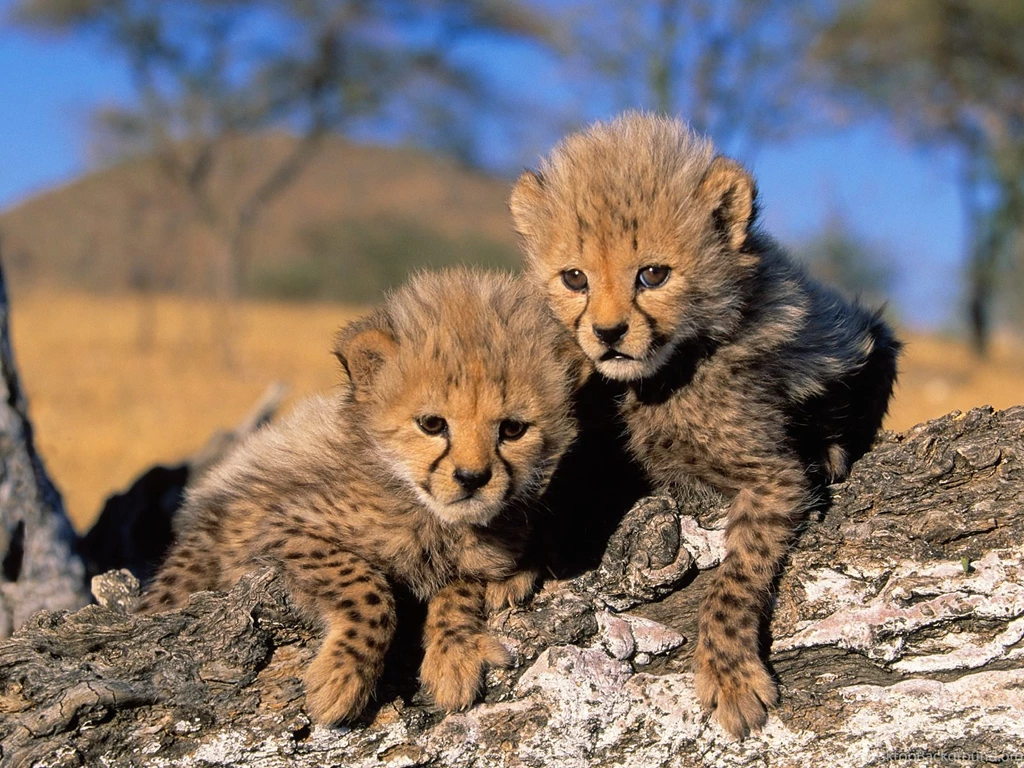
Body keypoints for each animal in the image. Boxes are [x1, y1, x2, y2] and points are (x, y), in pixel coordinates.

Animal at [138, 267, 585, 724]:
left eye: (512, 429)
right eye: (432, 424)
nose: (472, 478)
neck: (425, 511)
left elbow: (461, 588)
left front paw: (454, 655)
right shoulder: (284, 529)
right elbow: (367, 586)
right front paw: (341, 677)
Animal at [510, 111, 900, 738]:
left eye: (652, 274)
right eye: (574, 278)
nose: (608, 333)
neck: (663, 377)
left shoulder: (773, 477)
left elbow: (733, 579)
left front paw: (729, 675)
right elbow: (559, 489)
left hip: (870, 343)